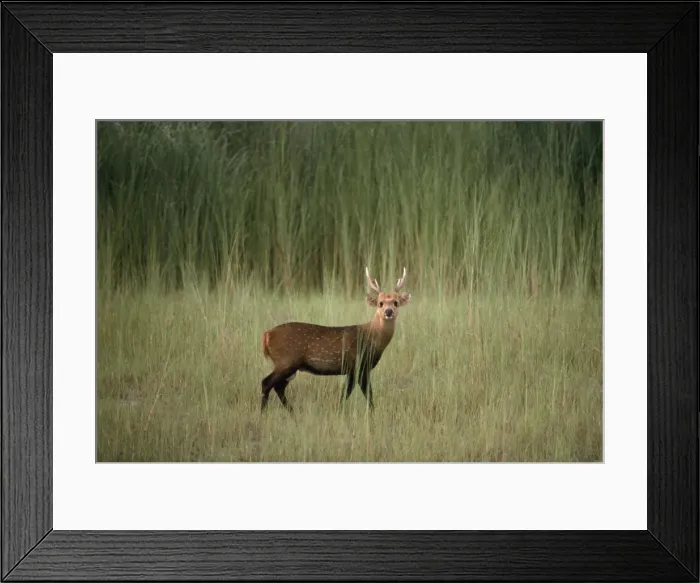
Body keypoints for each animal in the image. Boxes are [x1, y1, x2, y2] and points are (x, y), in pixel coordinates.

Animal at [260, 266, 412, 413]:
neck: (371, 338)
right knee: (266, 383)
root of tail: (267, 335)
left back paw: (292, 412)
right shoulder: (357, 364)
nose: (388, 312)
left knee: (278, 387)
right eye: (380, 303)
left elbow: (351, 394)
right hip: (286, 360)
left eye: (396, 302)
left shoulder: (356, 369)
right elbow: (360, 394)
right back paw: (264, 413)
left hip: (289, 366)